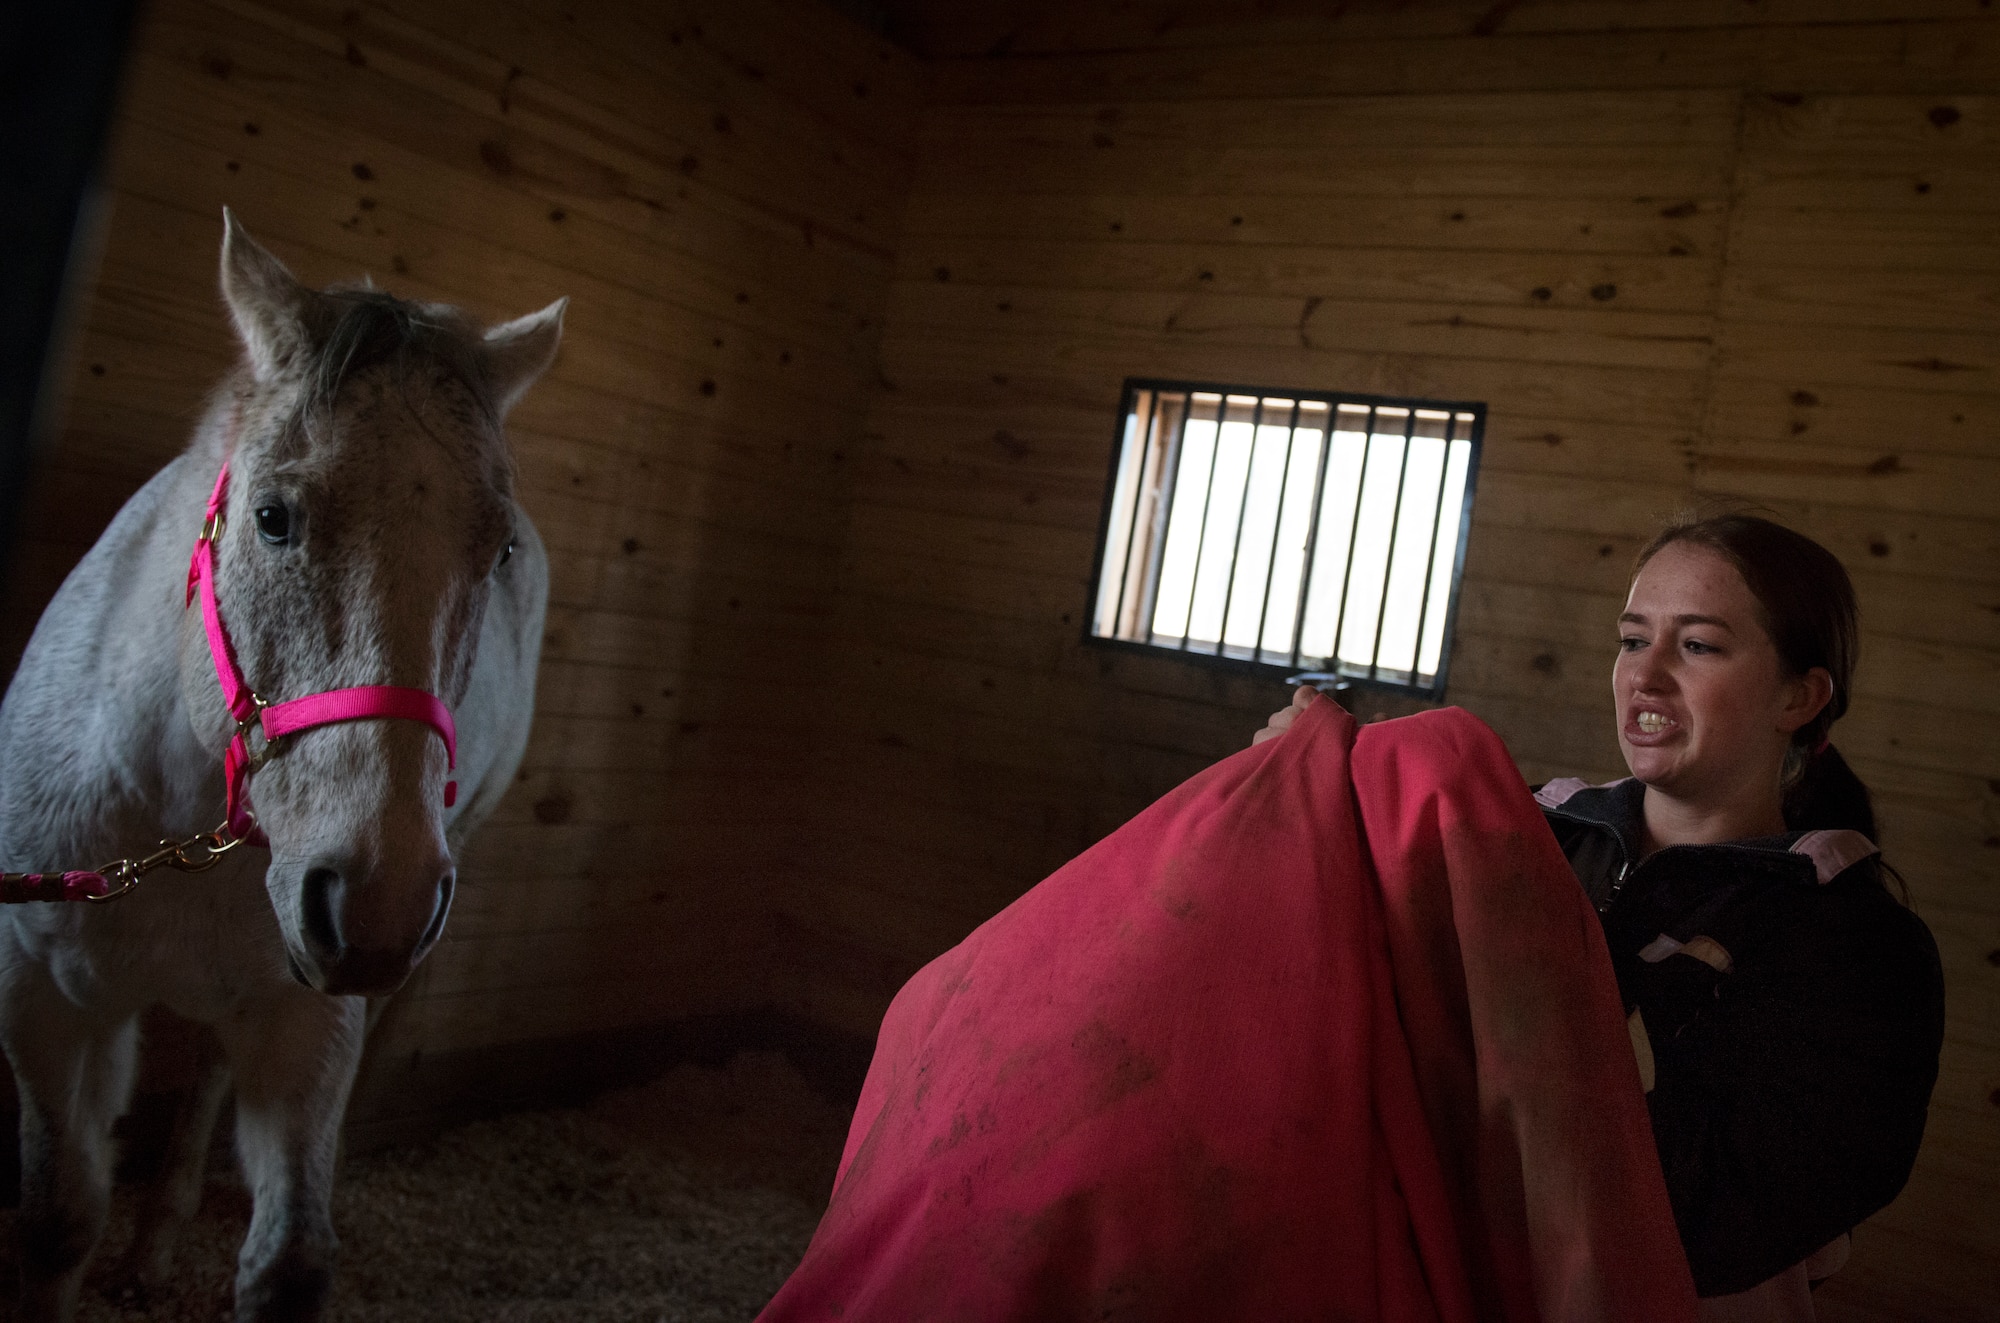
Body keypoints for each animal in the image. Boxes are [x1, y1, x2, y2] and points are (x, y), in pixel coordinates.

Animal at [0, 212, 560, 1319]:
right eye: (273, 516)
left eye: (496, 553)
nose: (376, 903)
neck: (169, 820)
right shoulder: (45, 996)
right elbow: (56, 1219)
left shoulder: (308, 1020)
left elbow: (288, 1260)